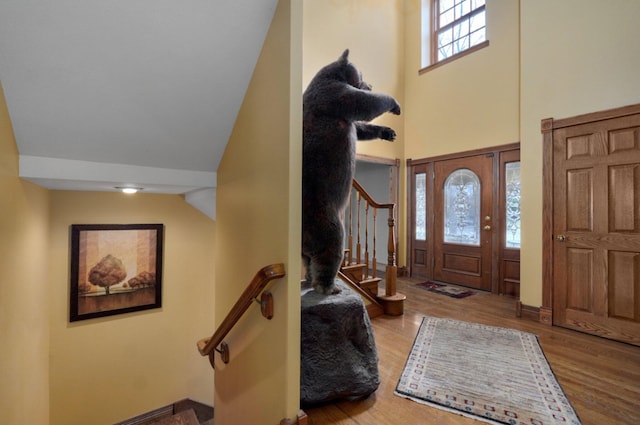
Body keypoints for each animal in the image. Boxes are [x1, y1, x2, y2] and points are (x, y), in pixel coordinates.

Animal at [304, 49, 400, 294]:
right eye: (362, 74)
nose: (370, 84)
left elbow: (359, 126)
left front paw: (388, 131)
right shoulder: (332, 97)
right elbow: (361, 104)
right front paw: (394, 104)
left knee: (308, 260)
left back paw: (308, 279)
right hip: (323, 215)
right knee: (331, 247)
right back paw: (328, 286)